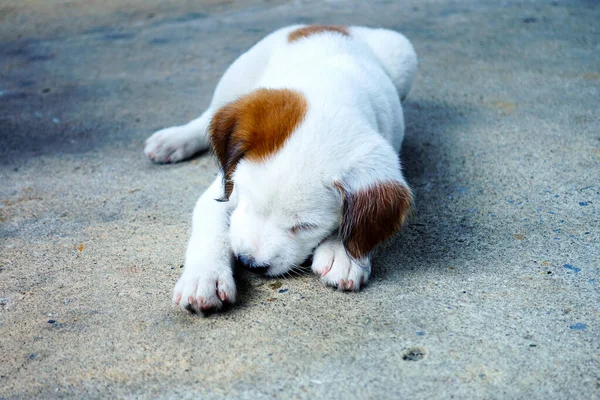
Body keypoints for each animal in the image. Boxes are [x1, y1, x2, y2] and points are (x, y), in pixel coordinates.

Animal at [145, 24, 418, 312]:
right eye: (248, 203)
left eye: (306, 226)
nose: (249, 263)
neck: (329, 90)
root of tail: (337, 26)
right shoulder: (223, 188)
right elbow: (213, 229)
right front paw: (204, 277)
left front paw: (344, 253)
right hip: (237, 77)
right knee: (206, 116)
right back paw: (172, 141)